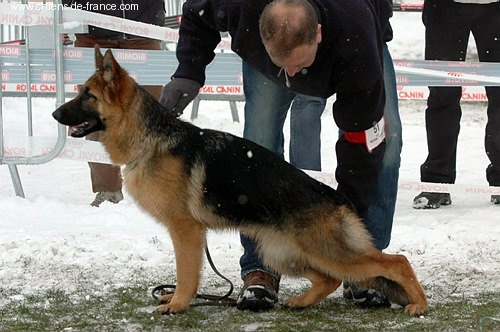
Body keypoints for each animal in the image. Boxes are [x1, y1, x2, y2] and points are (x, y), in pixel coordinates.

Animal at [52, 46, 428, 314]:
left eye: (88, 95)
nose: (55, 113)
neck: (151, 139)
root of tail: (337, 198)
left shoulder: (186, 230)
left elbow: (186, 273)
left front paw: (178, 303)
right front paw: (174, 300)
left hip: (324, 250)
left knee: (396, 261)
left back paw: (419, 304)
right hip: (282, 252)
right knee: (330, 280)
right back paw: (300, 301)